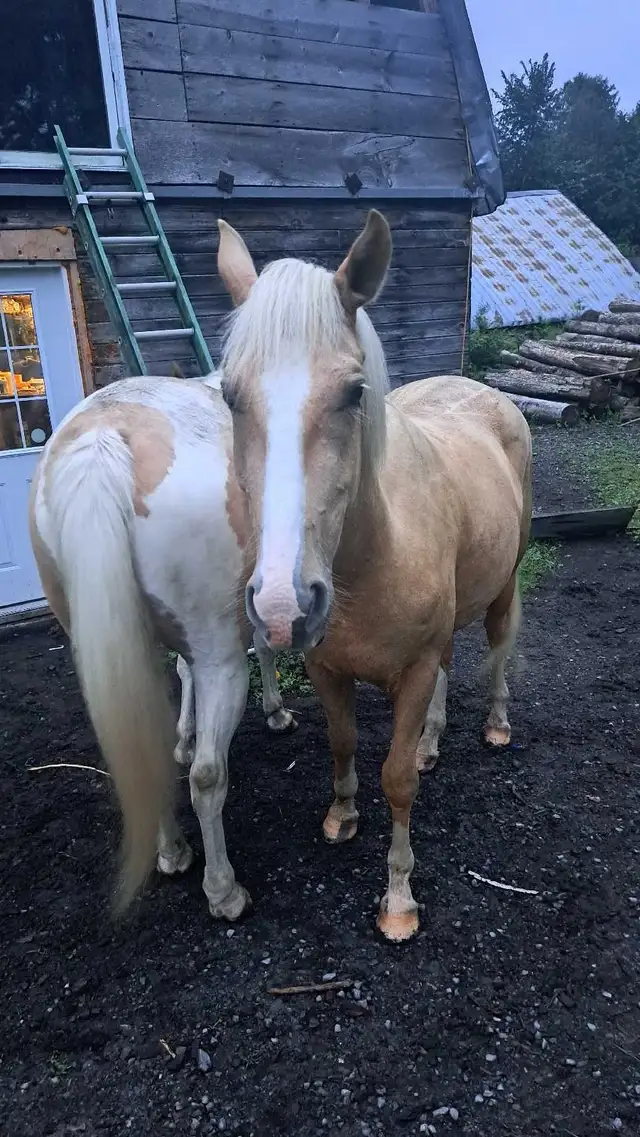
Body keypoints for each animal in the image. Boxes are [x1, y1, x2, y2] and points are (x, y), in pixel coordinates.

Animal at [29, 372, 294, 921]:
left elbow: (180, 678)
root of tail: (101, 440)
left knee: (142, 747)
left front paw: (184, 736)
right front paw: (276, 712)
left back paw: (172, 852)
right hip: (222, 662)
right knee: (207, 777)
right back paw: (224, 891)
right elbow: (263, 650)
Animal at [214, 209, 533, 942]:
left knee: (500, 646)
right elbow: (343, 741)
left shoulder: (409, 673)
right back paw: (433, 742)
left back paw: (496, 723)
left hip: (505, 585)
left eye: (354, 393)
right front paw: (342, 816)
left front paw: (398, 899)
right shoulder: (329, 667)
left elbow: (396, 781)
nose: (283, 606)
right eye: (229, 394)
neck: (369, 559)